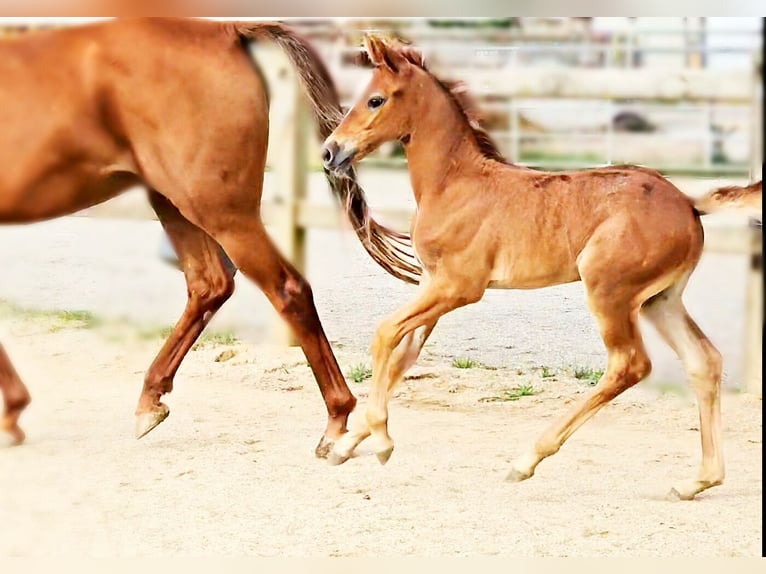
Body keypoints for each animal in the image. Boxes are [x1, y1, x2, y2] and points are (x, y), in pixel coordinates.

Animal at [0, 18, 420, 456]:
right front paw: (13, 411)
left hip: (220, 212)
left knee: (286, 288)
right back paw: (150, 401)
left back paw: (336, 422)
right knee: (210, 284)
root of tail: (228, 30)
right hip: (174, 202)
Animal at [320, 36, 764, 502]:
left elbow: (385, 333)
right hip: (660, 299)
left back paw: (526, 459)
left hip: (610, 291)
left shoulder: (458, 286)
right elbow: (403, 355)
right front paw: (346, 446)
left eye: (375, 99)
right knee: (704, 361)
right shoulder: (432, 283)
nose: (330, 151)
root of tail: (688, 203)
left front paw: (381, 440)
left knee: (629, 364)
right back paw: (698, 480)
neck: (454, 183)